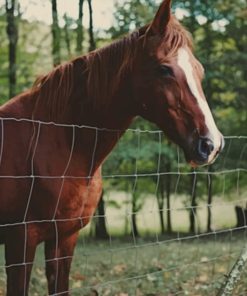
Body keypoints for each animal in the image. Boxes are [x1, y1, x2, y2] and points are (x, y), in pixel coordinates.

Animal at [0, 1, 224, 294]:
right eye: (164, 69)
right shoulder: (20, 240)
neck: (56, 142)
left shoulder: (64, 238)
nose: (211, 144)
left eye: (199, 70)